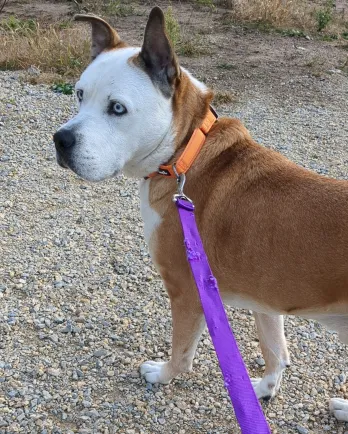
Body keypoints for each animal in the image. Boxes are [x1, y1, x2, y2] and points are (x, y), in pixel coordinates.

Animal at [53, 5, 348, 420]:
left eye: (117, 108)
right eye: (79, 94)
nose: (60, 140)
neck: (187, 153)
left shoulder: (187, 292)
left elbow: (181, 354)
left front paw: (161, 375)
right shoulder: (266, 300)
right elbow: (277, 353)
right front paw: (262, 391)